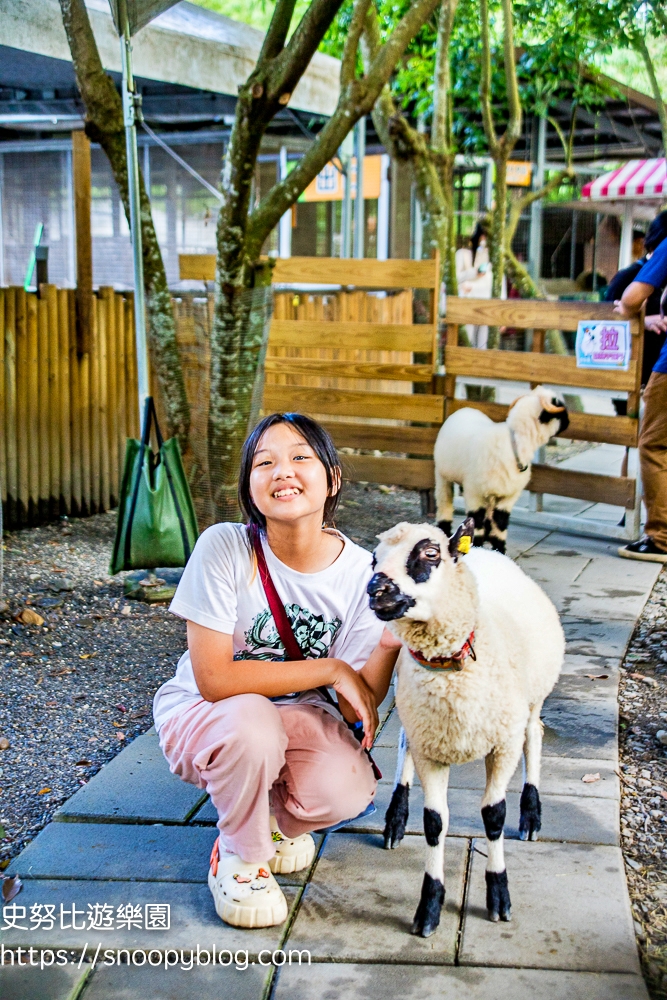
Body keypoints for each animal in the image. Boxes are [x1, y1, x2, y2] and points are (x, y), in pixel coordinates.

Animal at [368, 520, 568, 932]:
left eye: (430, 554)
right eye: (373, 560)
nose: (375, 589)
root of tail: (486, 551)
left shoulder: (503, 743)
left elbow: (493, 816)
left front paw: (499, 895)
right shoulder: (429, 741)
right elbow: (434, 823)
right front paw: (428, 908)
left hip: (531, 700)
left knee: (534, 738)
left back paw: (531, 815)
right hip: (410, 708)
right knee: (403, 742)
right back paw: (396, 818)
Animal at [436, 384, 572, 556]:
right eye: (558, 406)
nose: (569, 421)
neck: (515, 444)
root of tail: (465, 409)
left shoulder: (509, 495)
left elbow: (500, 524)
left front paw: (499, 551)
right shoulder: (474, 491)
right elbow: (477, 522)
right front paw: (478, 549)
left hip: (491, 492)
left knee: (489, 517)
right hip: (442, 476)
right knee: (444, 505)